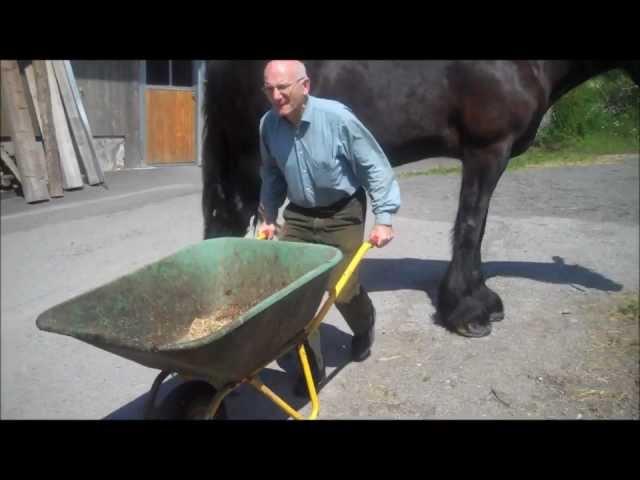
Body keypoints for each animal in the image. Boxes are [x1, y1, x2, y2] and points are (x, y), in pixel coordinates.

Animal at [201, 60, 640, 338]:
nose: (614, 285)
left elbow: (477, 227)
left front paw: (480, 299)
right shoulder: (487, 150)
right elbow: (470, 225)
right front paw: (467, 311)